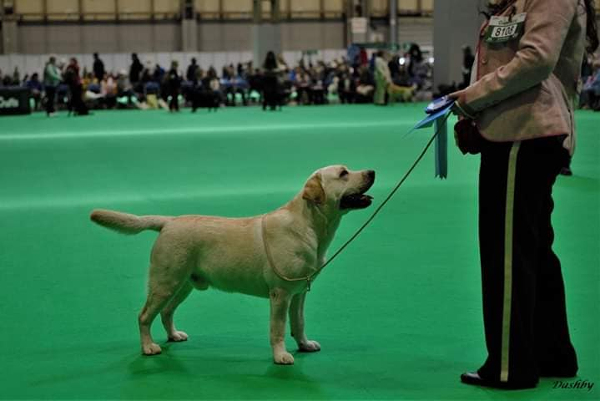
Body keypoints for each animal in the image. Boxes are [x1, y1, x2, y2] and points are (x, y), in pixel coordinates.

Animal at [90, 164, 376, 364]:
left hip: (183, 284)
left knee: (166, 311)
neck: (310, 225)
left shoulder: (298, 293)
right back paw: (148, 347)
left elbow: (299, 322)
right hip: (165, 282)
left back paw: (174, 335)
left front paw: (304, 345)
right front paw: (281, 356)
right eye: (343, 173)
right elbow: (279, 328)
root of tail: (168, 221)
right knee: (144, 315)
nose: (372, 172)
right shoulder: (281, 294)